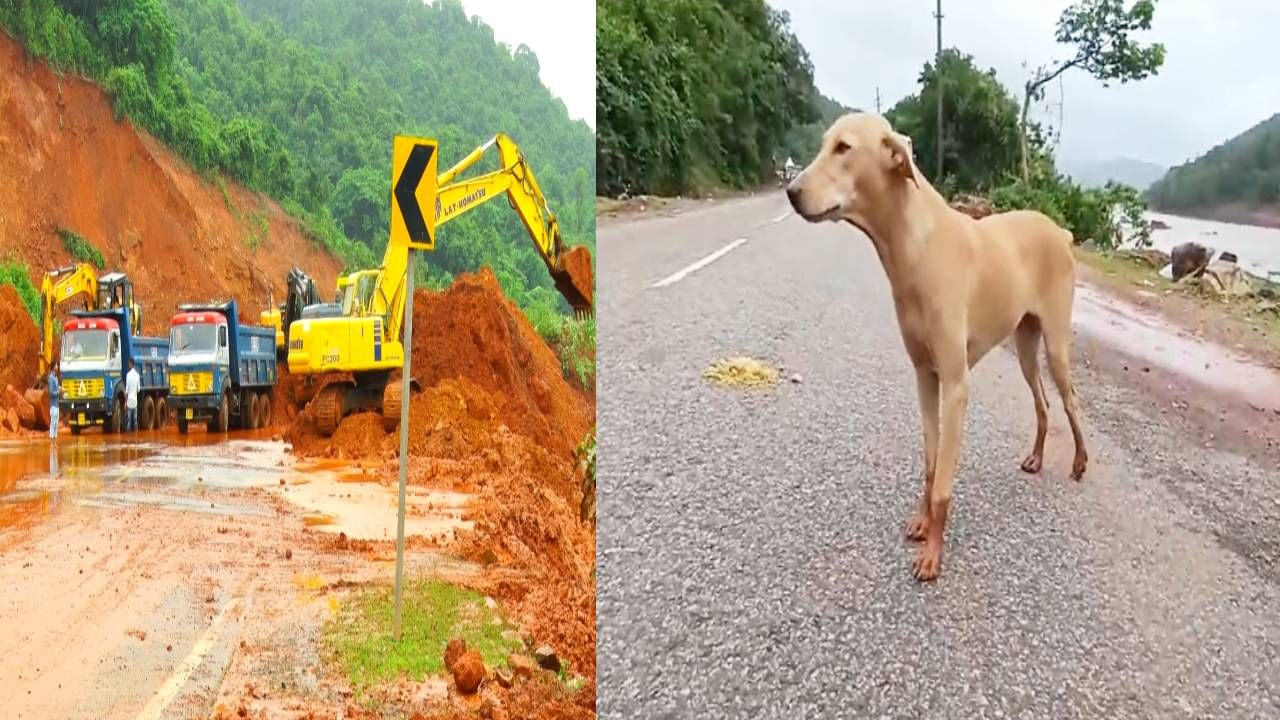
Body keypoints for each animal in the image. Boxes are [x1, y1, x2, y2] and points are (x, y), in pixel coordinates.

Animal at [783, 113, 1085, 584]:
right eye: (823, 143)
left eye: (844, 148)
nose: (791, 191)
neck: (912, 247)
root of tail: (1060, 229)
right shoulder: (925, 375)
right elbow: (930, 464)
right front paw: (924, 523)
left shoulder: (956, 385)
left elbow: (943, 480)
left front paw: (934, 553)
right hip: (1024, 345)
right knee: (1043, 403)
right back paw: (1036, 458)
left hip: (1055, 344)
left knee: (1070, 402)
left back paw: (1080, 463)